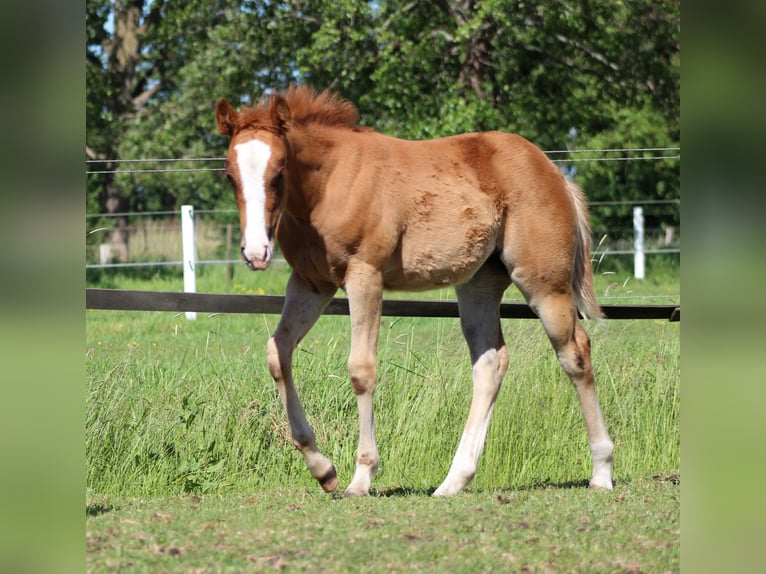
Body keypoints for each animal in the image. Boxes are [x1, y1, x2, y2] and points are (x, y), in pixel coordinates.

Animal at [215, 85, 613, 497]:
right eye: (229, 175)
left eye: (279, 171)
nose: (256, 252)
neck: (327, 184)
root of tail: (554, 172)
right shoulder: (311, 283)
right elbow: (278, 355)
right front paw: (323, 470)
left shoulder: (365, 276)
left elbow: (361, 370)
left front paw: (361, 476)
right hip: (479, 285)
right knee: (491, 363)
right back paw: (453, 481)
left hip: (543, 284)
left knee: (575, 354)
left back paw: (602, 471)